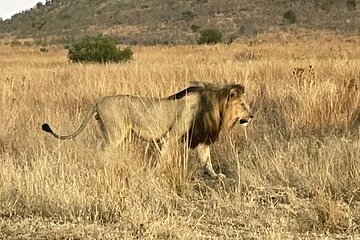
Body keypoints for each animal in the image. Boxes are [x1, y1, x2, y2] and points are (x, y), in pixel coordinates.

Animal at [41, 82, 253, 178]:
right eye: (243, 104)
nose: (251, 116)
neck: (214, 105)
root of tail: (99, 101)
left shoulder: (201, 139)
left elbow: (206, 159)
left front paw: (216, 175)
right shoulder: (171, 135)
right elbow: (164, 157)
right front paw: (155, 173)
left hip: (107, 132)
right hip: (114, 134)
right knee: (102, 151)